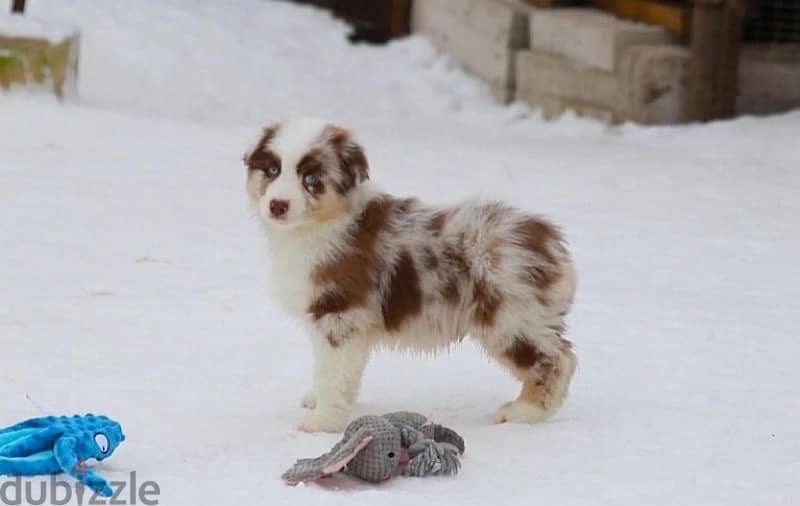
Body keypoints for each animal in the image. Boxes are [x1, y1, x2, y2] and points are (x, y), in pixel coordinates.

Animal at [242, 117, 576, 430]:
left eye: (311, 179)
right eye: (272, 170)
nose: (277, 205)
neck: (322, 225)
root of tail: (551, 244)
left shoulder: (340, 312)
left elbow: (332, 371)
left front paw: (323, 422)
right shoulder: (349, 324)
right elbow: (338, 369)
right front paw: (319, 401)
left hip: (511, 320)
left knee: (557, 360)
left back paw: (525, 412)